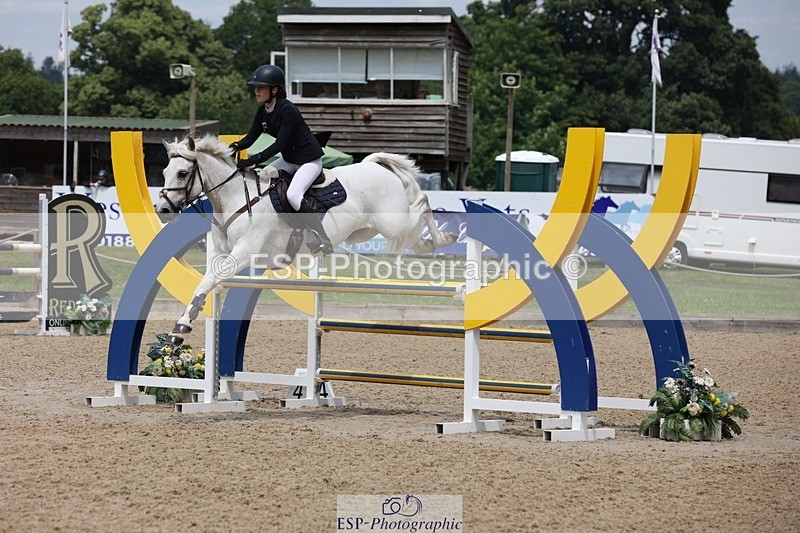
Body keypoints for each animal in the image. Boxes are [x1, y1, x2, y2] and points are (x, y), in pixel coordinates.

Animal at [156, 135, 458, 344]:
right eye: (164, 173)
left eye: (182, 173)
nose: (162, 210)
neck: (236, 198)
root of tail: (375, 167)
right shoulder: (222, 252)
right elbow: (206, 282)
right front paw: (182, 326)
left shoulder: (244, 252)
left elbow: (210, 280)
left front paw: (182, 327)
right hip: (368, 230)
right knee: (413, 219)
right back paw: (424, 244)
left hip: (392, 222)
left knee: (422, 201)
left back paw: (440, 239)